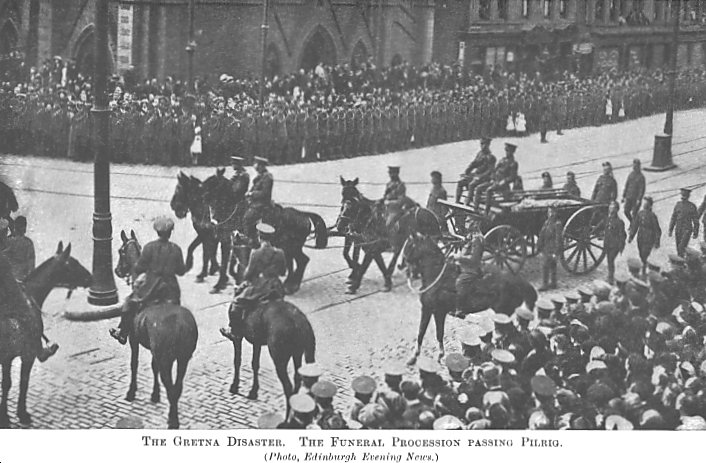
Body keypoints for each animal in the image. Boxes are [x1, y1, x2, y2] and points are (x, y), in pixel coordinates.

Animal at [0, 243, 92, 428]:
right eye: (73, 264)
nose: (90, 278)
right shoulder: (26, 355)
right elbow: (22, 382)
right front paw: (21, 414)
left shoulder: (7, 358)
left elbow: (7, 384)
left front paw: (5, 416)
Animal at [115, 232, 198, 432]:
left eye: (121, 251)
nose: (117, 270)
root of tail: (180, 324)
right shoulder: (155, 352)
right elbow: (153, 367)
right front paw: (154, 394)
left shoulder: (134, 340)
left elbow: (134, 364)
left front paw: (131, 392)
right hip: (182, 359)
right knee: (177, 387)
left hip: (167, 359)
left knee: (171, 387)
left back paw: (172, 420)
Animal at [398, 234, 536, 364]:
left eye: (410, 244)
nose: (399, 265)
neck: (435, 275)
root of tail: (519, 281)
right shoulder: (430, 310)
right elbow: (426, 333)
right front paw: (418, 357)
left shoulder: (436, 311)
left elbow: (433, 333)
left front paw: (435, 356)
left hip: (502, 314)